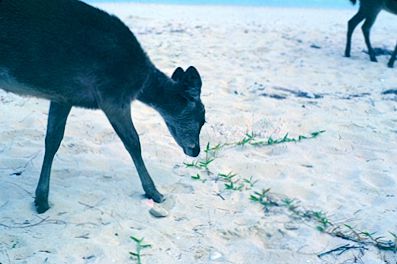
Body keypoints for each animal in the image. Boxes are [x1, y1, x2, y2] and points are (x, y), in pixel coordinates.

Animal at [0, 0, 204, 213]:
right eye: (202, 118)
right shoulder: (113, 96)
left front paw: (41, 200)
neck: (139, 83)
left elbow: (53, 139)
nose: (196, 150)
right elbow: (133, 142)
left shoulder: (63, 96)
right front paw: (155, 193)